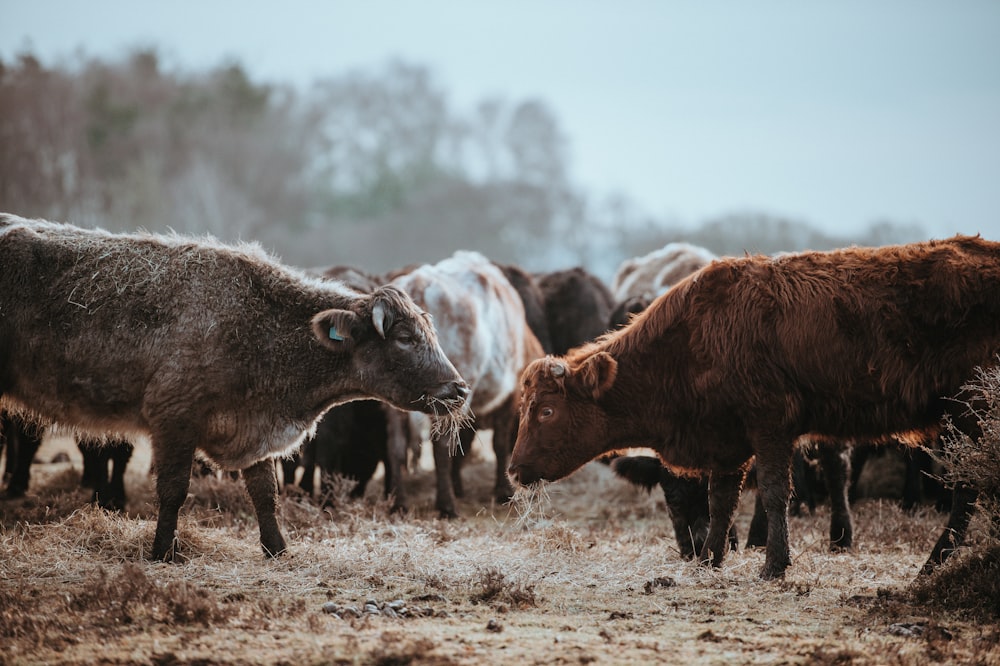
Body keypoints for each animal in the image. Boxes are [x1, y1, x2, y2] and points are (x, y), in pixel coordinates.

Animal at [0, 214, 468, 560]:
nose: (459, 389)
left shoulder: (252, 430)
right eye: (404, 338)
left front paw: (277, 549)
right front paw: (163, 552)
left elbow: (265, 493)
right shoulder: (174, 419)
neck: (256, 327)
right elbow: (173, 490)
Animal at [512, 236, 1000, 580]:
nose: (515, 470)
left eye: (546, 411)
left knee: (965, 491)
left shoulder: (770, 427)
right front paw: (710, 558)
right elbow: (722, 499)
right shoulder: (726, 441)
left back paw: (931, 565)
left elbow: (772, 492)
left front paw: (773, 564)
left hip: (968, 416)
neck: (697, 336)